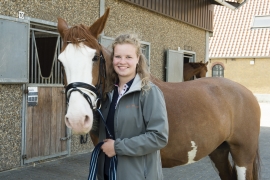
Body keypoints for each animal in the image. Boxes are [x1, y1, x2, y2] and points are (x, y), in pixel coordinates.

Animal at [56, 8, 260, 180]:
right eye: (60, 62)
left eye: (95, 57)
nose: (77, 119)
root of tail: (247, 93)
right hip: (219, 151)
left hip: (243, 155)